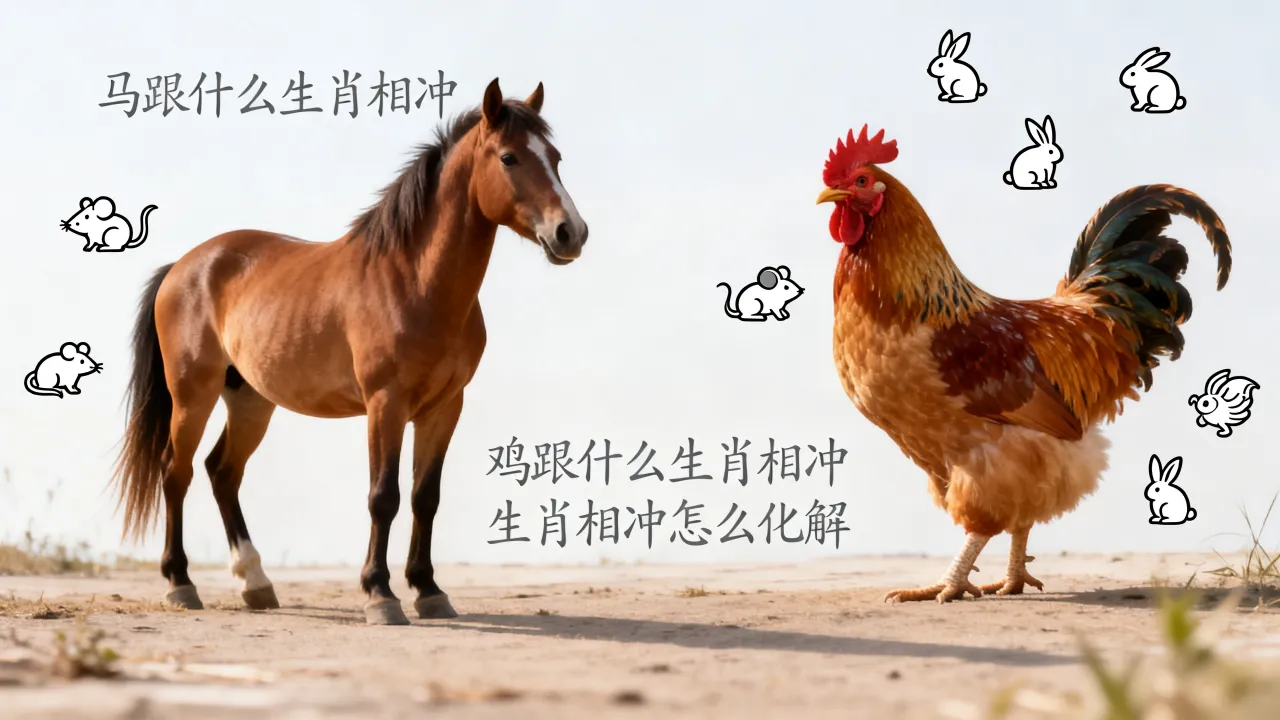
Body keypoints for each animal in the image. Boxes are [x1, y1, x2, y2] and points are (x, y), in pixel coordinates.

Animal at [110, 78, 588, 626]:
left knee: (222, 473)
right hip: (194, 395)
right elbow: (384, 497)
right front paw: (380, 594)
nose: (571, 233)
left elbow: (425, 497)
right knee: (177, 472)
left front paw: (428, 590)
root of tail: (182, 266)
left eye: (555, 157)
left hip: (251, 399)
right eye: (509, 157)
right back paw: (180, 583)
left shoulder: (445, 407)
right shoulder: (385, 404)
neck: (413, 280)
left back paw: (255, 583)